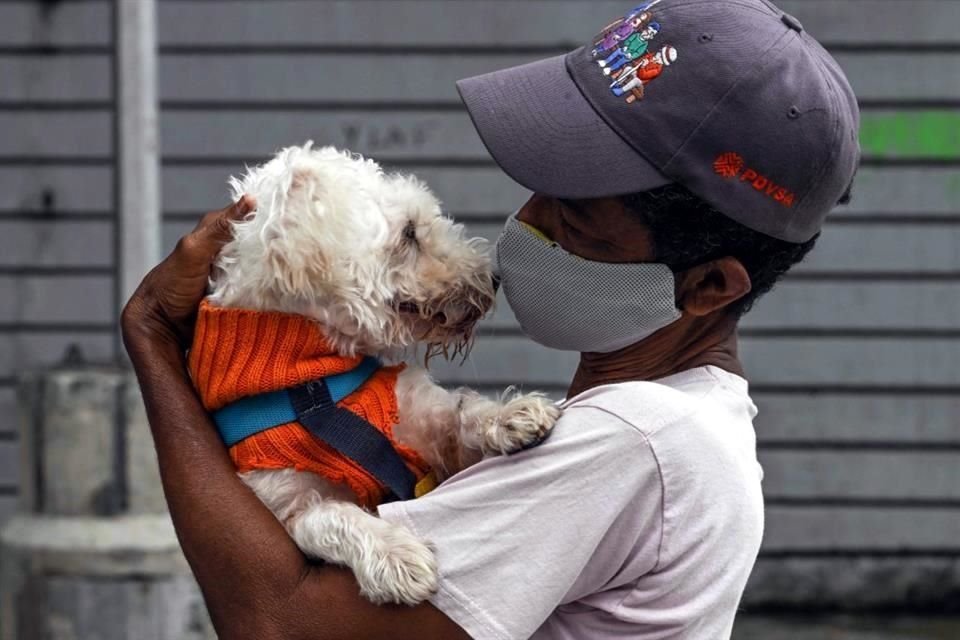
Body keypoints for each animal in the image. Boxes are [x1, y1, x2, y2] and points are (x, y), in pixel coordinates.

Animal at [202, 144, 564, 604]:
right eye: (409, 232)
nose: (494, 278)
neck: (313, 387)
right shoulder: (288, 506)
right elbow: (335, 517)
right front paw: (395, 554)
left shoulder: (429, 434)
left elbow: (463, 410)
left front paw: (510, 415)